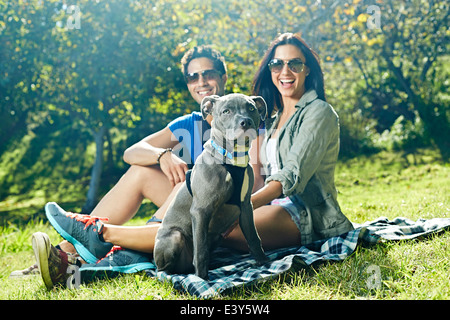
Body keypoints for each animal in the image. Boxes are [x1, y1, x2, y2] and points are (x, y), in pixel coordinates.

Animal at [153, 92, 268, 280]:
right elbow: (200, 251)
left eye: (251, 108)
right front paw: (202, 279)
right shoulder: (201, 211)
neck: (231, 158)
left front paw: (264, 263)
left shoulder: (245, 206)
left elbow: (253, 237)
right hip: (174, 236)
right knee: (165, 268)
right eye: (226, 111)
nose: (245, 122)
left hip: (217, 237)